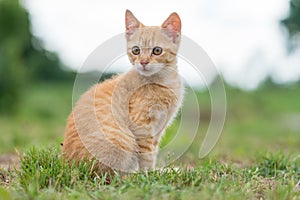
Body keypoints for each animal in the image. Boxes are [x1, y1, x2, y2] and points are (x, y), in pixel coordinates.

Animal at [61, 9, 183, 177]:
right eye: (136, 50)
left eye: (157, 51)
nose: (143, 62)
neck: (164, 82)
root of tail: (70, 165)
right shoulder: (142, 125)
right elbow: (147, 156)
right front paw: (149, 175)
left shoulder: (159, 128)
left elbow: (153, 151)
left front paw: (154, 172)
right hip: (122, 139)